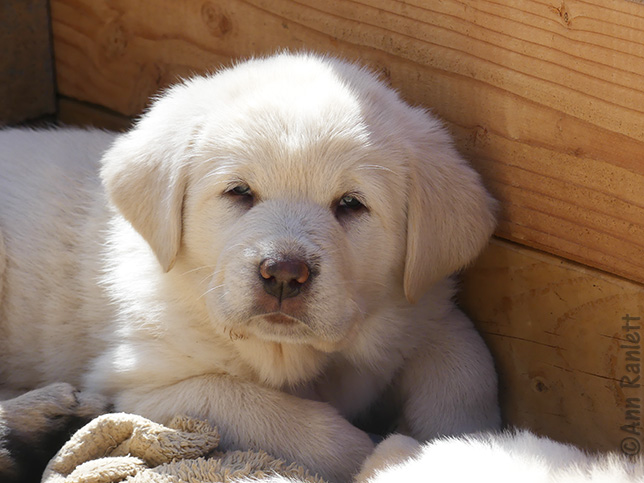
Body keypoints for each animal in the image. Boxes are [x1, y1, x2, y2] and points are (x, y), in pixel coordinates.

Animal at [0, 51, 500, 482]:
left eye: (351, 204)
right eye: (239, 192)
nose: (284, 273)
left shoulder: (422, 309)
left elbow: (467, 370)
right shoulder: (141, 385)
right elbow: (278, 416)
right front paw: (376, 453)